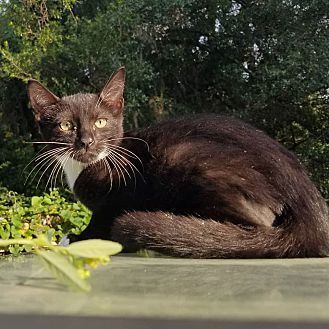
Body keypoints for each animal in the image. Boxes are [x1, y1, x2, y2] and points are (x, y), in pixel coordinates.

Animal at [27, 66, 328, 256]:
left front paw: (79, 237)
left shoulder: (122, 193)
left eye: (100, 122)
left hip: (188, 157)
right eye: (66, 126)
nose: (86, 141)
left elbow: (103, 216)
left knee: (260, 223)